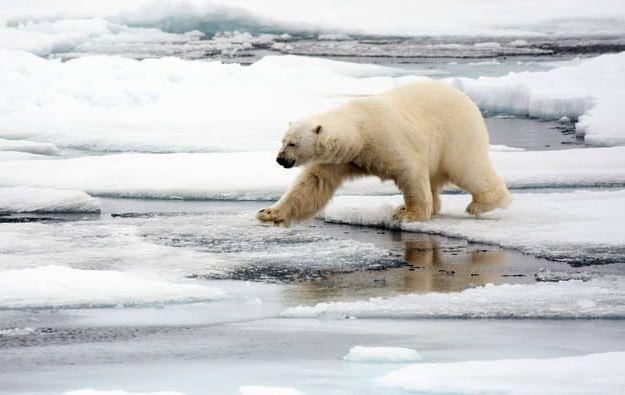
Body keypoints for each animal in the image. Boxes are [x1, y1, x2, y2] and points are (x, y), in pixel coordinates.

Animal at [256, 81, 510, 226]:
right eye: (282, 140)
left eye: (293, 143)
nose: (280, 159)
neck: (359, 131)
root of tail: (469, 101)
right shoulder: (340, 158)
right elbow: (312, 184)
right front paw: (269, 212)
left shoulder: (387, 138)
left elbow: (410, 171)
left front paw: (410, 215)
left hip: (456, 136)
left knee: (468, 168)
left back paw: (480, 204)